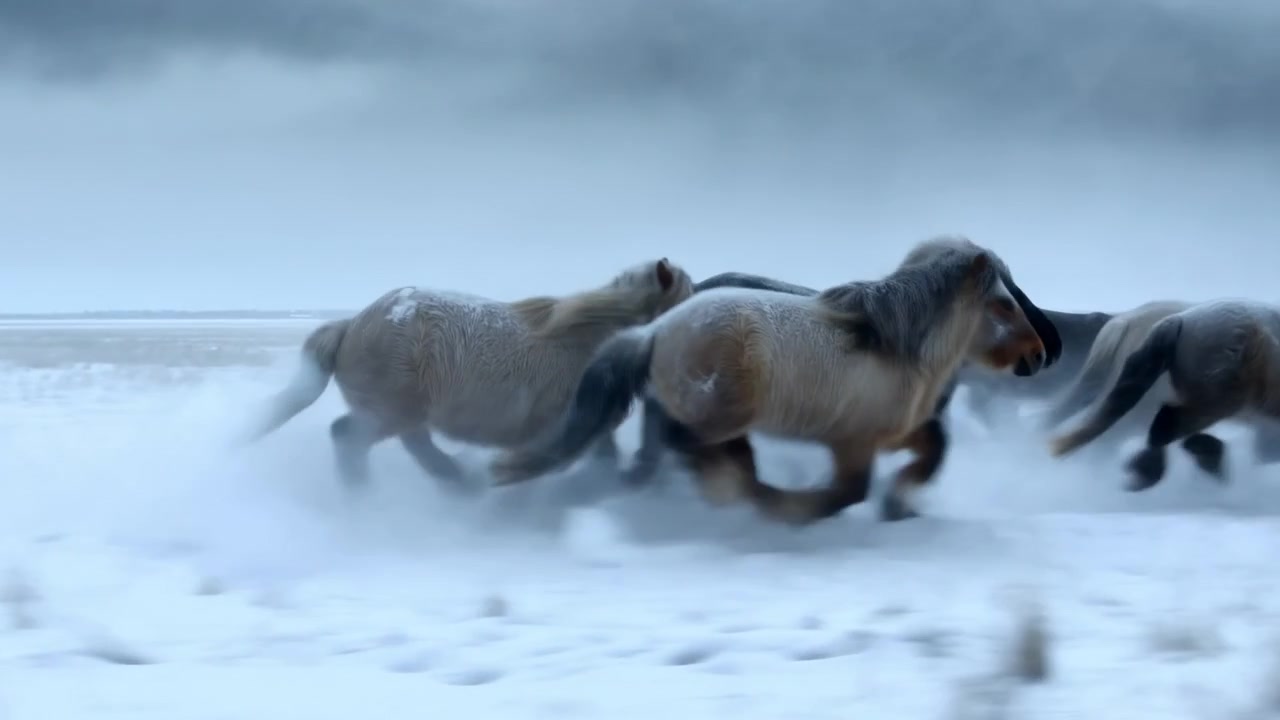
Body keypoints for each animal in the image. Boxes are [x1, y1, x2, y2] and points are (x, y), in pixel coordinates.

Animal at [240, 258, 695, 492]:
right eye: (690, 294)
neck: (594, 338)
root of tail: (351, 325)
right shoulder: (572, 422)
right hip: (387, 413)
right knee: (347, 437)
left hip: (405, 415)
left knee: (415, 446)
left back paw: (457, 482)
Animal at [489, 235, 1062, 525]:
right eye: (1003, 303)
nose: (1041, 353)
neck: (895, 348)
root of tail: (656, 331)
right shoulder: (852, 442)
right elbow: (846, 493)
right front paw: (794, 510)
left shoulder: (898, 432)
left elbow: (933, 452)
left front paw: (899, 504)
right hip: (719, 412)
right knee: (687, 443)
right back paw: (737, 489)